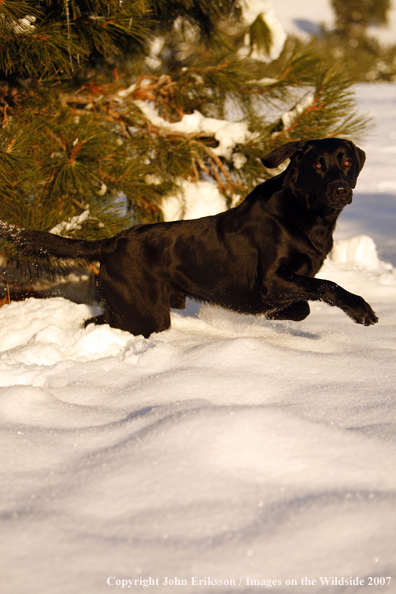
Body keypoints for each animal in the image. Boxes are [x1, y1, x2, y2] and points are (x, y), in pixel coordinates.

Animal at [0, 136, 378, 336]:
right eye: (318, 165)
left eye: (346, 163)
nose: (341, 190)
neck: (308, 215)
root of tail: (110, 242)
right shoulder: (271, 280)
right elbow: (325, 287)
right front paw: (360, 310)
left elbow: (303, 305)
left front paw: (274, 315)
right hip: (147, 314)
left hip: (136, 309)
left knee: (98, 319)